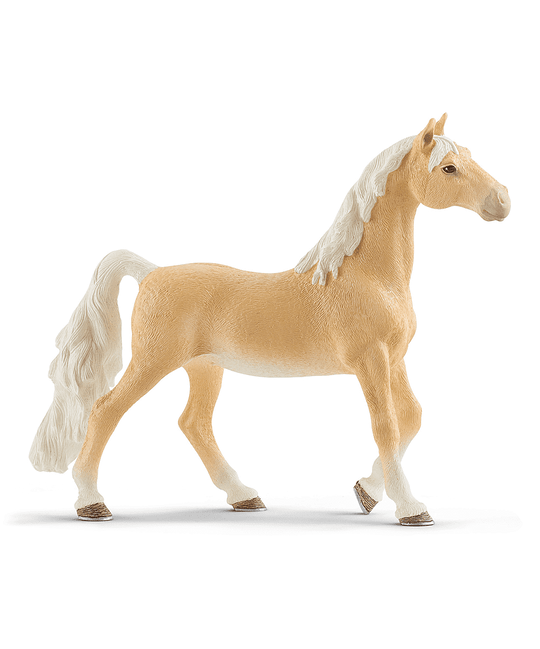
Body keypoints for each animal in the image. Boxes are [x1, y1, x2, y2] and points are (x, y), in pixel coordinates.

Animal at [29, 113, 511, 526]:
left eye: (468, 155)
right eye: (449, 167)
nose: (501, 203)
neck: (369, 275)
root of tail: (151, 272)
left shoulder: (394, 358)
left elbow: (411, 417)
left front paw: (365, 494)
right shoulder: (371, 361)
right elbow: (387, 426)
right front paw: (410, 510)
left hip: (205, 367)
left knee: (193, 422)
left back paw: (244, 497)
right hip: (155, 361)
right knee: (105, 410)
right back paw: (92, 503)